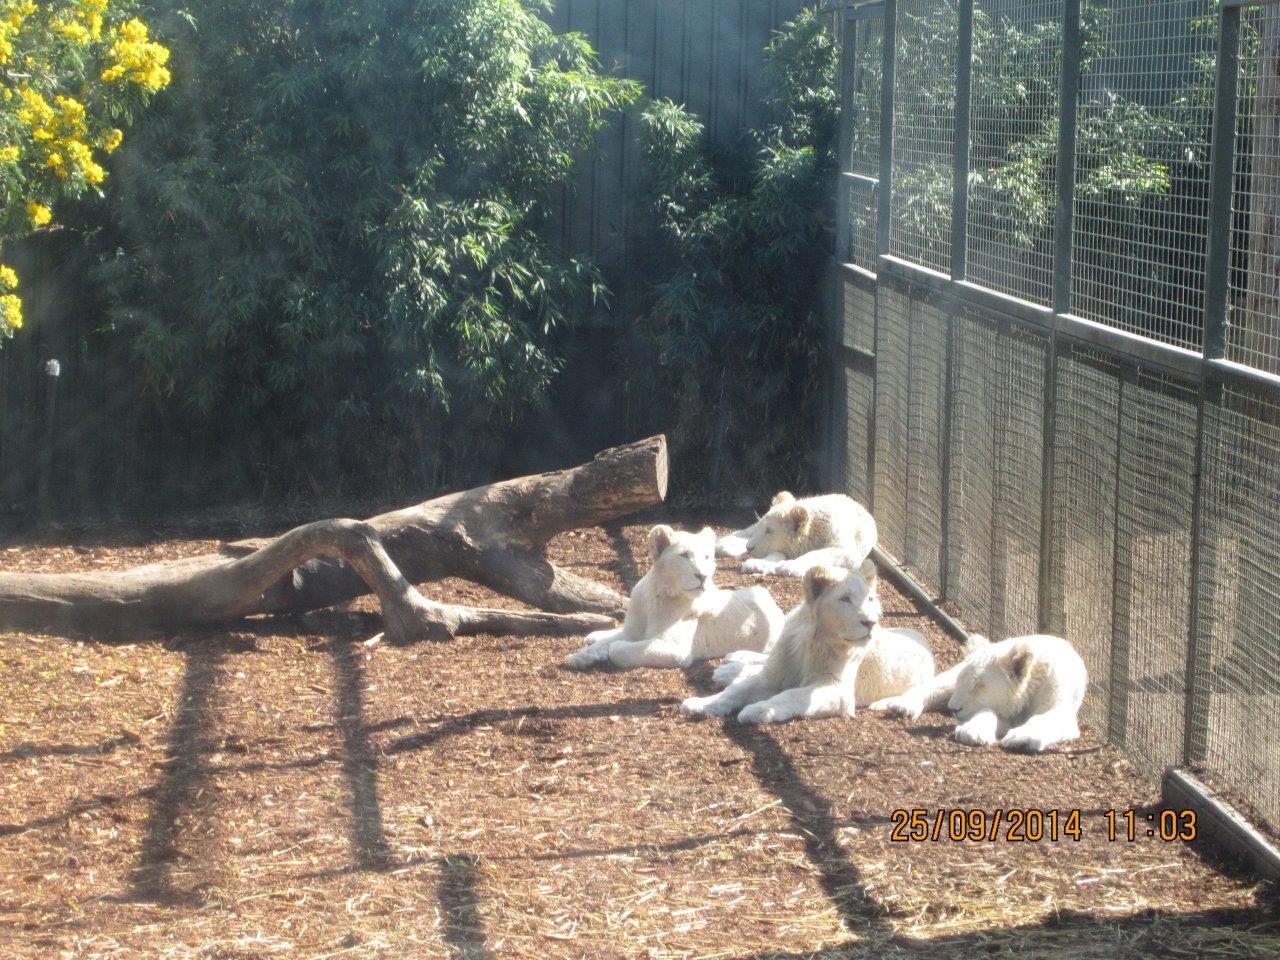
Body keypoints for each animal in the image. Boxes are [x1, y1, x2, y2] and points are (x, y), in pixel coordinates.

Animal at [565, 525, 783, 671]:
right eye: (684, 555)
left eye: (707, 557)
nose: (703, 576)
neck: (658, 594)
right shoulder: (633, 629)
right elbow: (608, 642)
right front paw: (579, 656)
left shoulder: (676, 650)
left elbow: (618, 649)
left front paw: (613, 648)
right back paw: (594, 636)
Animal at [680, 560, 933, 724]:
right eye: (845, 599)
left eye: (870, 599)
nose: (871, 622)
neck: (815, 640)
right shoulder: (773, 674)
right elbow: (737, 691)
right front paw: (702, 704)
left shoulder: (837, 692)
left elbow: (792, 695)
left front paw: (760, 709)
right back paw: (732, 664)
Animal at [716, 491, 877, 577]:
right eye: (764, 528)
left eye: (769, 531)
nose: (749, 548)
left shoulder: (848, 551)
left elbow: (817, 554)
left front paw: (788, 567)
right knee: (743, 532)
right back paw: (723, 545)